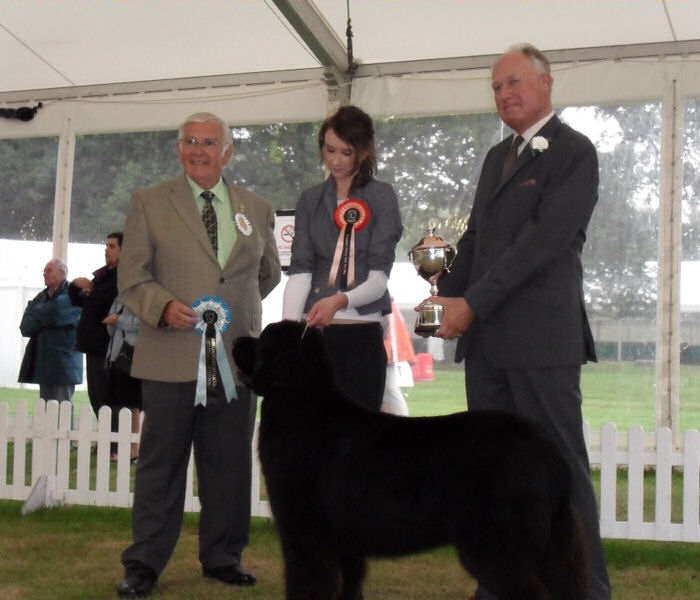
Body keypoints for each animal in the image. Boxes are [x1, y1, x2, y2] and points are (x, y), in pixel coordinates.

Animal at [232, 322, 588, 596]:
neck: (301, 405)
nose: (235, 340)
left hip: (495, 543)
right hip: (555, 548)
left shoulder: (305, 533)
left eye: (262, 343)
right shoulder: (345, 544)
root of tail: (544, 445)